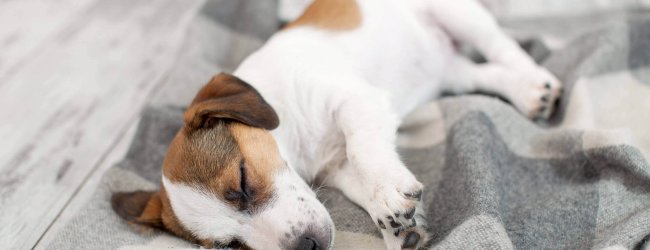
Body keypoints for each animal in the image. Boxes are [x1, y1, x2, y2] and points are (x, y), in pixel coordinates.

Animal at [110, 0, 556, 250]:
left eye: (241, 182)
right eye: (230, 246)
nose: (305, 246)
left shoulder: (354, 100)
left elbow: (364, 150)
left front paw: (387, 194)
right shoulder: (336, 168)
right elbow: (359, 183)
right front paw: (398, 226)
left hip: (459, 15)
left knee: (502, 47)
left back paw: (537, 85)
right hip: (452, 73)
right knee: (486, 74)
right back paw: (523, 89)